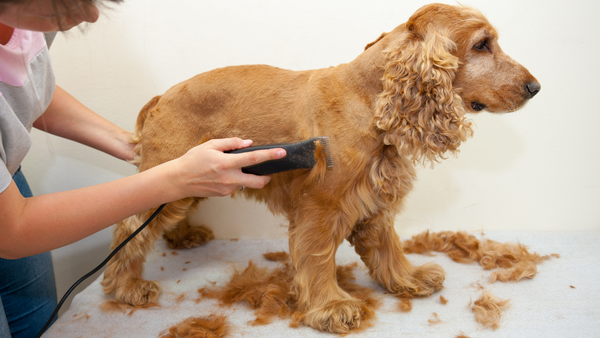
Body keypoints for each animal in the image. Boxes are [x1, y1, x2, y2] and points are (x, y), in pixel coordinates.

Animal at [102, 3, 540, 334]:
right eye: (482, 44)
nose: (535, 88)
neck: (369, 99)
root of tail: (161, 97)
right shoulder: (320, 207)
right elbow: (316, 258)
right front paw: (331, 307)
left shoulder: (374, 201)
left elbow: (388, 247)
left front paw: (407, 280)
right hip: (171, 174)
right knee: (130, 230)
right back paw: (127, 287)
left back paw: (184, 237)